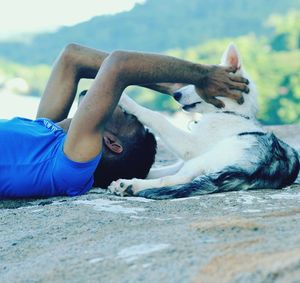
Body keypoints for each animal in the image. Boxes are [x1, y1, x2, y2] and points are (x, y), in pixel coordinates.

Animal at [108, 43, 300, 200]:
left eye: (199, 84)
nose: (176, 94)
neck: (230, 113)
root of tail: (261, 168)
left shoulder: (190, 148)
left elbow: (157, 117)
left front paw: (126, 100)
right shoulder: (183, 160)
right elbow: (154, 171)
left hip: (203, 160)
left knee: (174, 180)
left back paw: (130, 185)